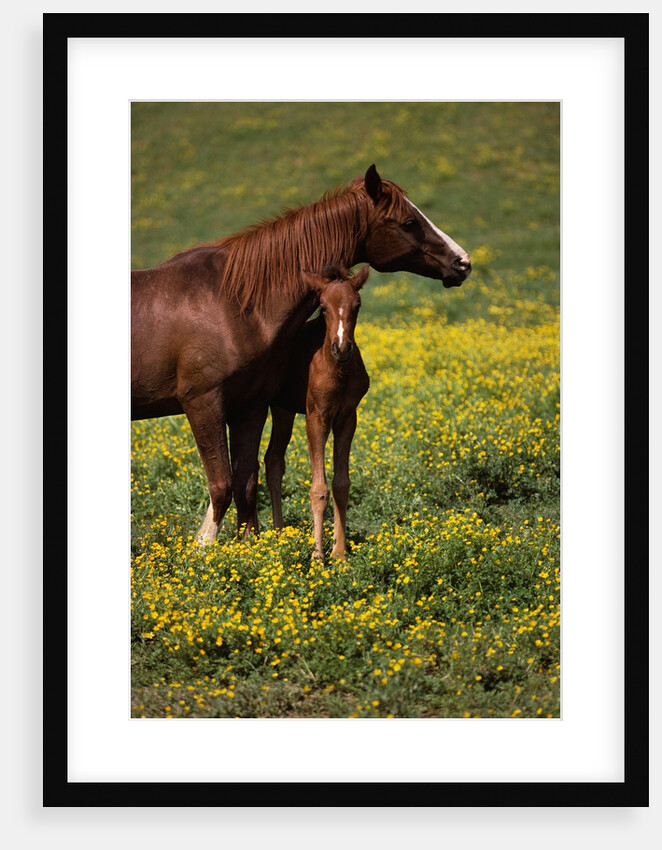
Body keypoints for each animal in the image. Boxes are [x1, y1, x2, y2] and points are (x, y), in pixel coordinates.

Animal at [265, 264, 370, 561]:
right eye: (322, 307)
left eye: (357, 305)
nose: (342, 348)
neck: (337, 370)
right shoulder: (316, 416)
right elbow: (319, 489)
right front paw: (317, 556)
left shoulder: (348, 417)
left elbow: (341, 485)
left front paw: (340, 555)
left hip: (284, 410)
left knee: (273, 461)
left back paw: (279, 532)